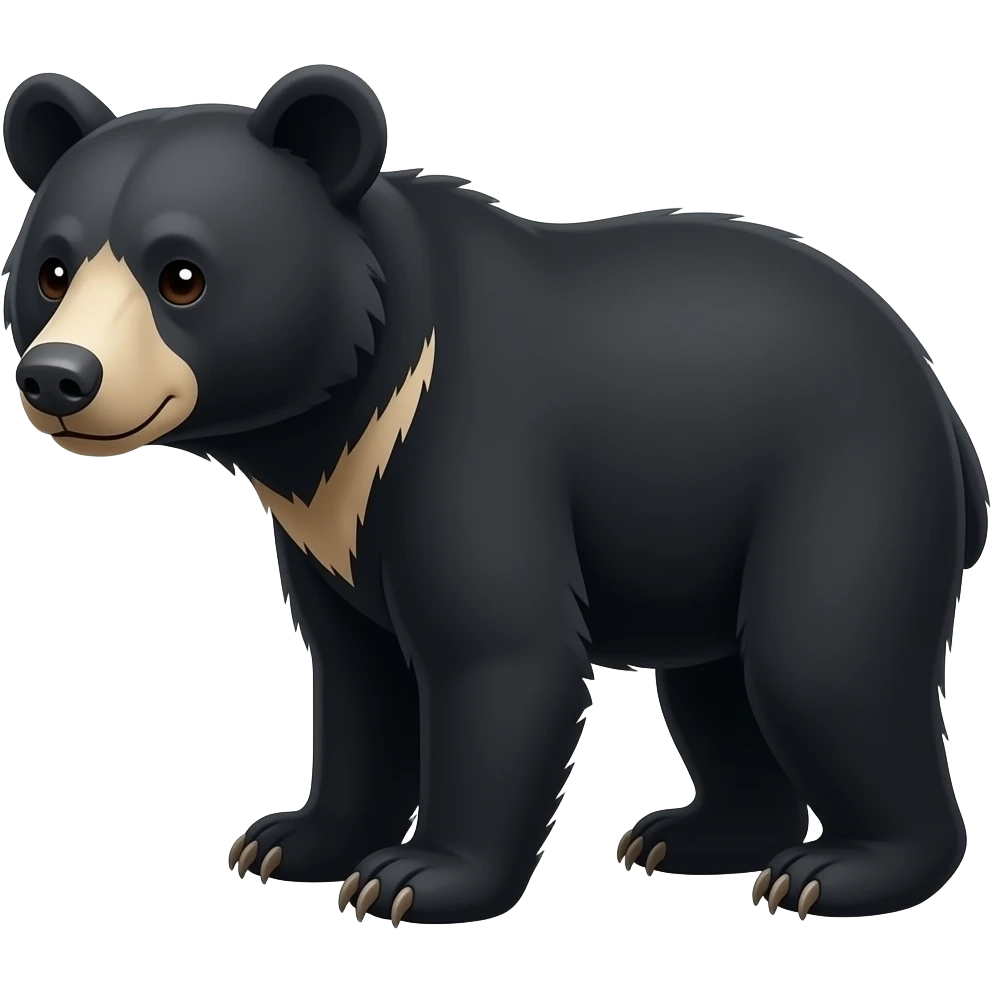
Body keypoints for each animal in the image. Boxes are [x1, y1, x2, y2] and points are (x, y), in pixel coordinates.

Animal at [3, 65, 987, 926]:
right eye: (51, 268)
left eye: (182, 274)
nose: (60, 376)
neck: (341, 412)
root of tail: (939, 397)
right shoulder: (332, 518)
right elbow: (355, 672)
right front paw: (288, 841)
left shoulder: (468, 440)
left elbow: (498, 651)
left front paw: (413, 877)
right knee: (715, 683)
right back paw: (696, 835)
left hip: (845, 473)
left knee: (817, 661)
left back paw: (839, 870)